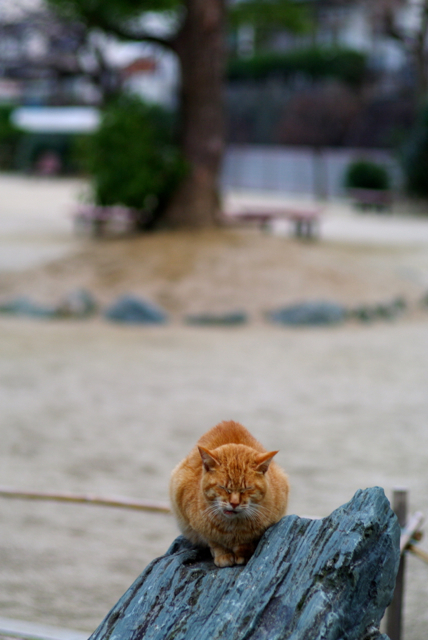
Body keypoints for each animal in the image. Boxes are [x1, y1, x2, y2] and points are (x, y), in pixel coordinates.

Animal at [169, 420, 289, 567]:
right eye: (223, 488)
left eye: (246, 489)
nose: (234, 503)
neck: (233, 528)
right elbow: (215, 542)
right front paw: (223, 554)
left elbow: (246, 543)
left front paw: (242, 553)